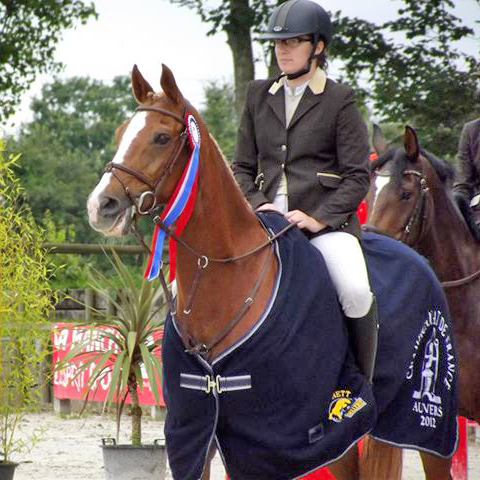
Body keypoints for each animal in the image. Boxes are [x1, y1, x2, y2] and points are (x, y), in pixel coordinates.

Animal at [86, 65, 458, 478]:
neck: (228, 275)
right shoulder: (198, 430)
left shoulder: (274, 437)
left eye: (161, 138)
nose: (101, 205)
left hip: (419, 421)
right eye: (120, 134)